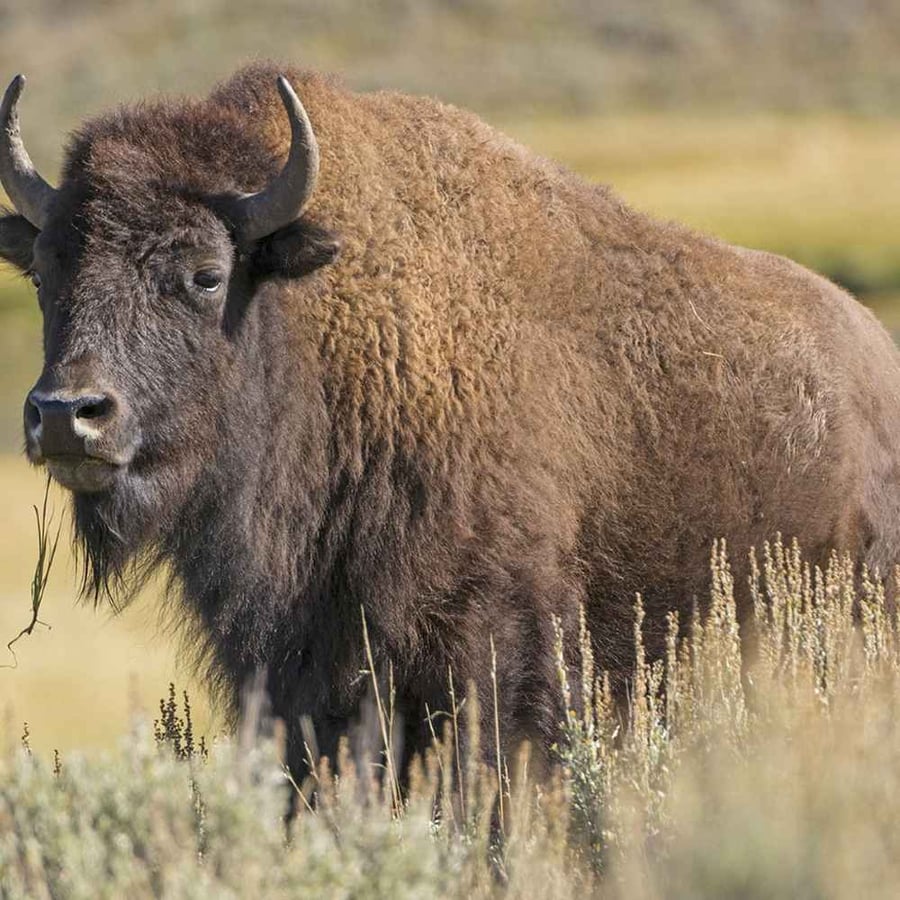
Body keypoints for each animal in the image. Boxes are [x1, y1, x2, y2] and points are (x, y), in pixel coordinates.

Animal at [2, 63, 899, 778]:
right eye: (43, 271)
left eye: (207, 274)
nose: (67, 415)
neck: (326, 327)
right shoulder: (300, 672)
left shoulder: (489, 656)